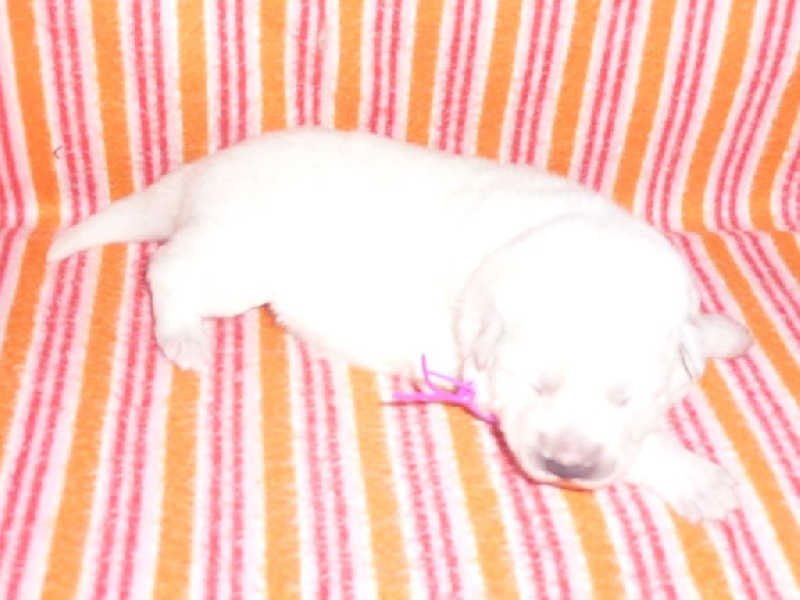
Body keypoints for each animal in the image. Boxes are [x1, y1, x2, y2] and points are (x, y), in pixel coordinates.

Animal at [48, 128, 752, 521]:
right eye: (534, 385)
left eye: (627, 398)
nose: (566, 465)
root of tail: (203, 173)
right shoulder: (480, 381)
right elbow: (647, 450)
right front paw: (700, 480)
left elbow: (691, 333)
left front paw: (721, 331)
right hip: (236, 263)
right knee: (166, 269)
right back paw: (184, 336)